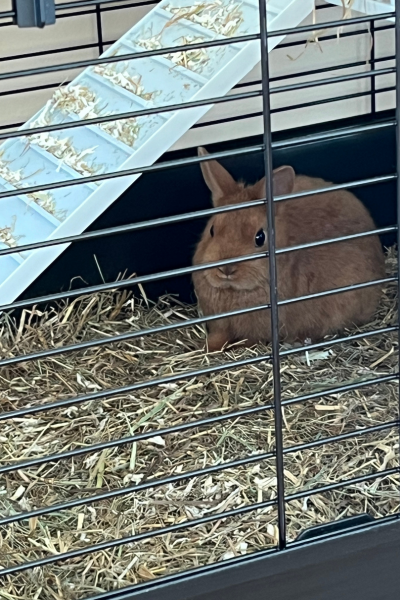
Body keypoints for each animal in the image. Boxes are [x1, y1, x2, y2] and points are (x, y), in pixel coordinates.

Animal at [192, 146, 386, 352]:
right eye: (212, 230)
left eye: (260, 237)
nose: (226, 269)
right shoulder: (220, 325)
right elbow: (218, 338)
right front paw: (208, 348)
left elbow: (248, 341)